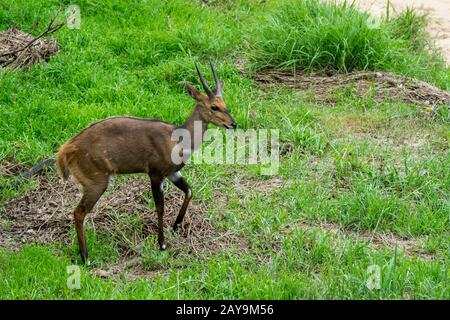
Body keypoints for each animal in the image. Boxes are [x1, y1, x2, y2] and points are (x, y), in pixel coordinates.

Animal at [57, 62, 236, 262]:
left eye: (225, 105)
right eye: (214, 107)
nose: (233, 124)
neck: (178, 139)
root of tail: (67, 149)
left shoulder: (172, 173)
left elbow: (189, 191)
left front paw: (176, 225)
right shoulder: (155, 173)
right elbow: (160, 207)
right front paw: (162, 244)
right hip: (96, 181)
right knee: (79, 212)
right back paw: (85, 258)